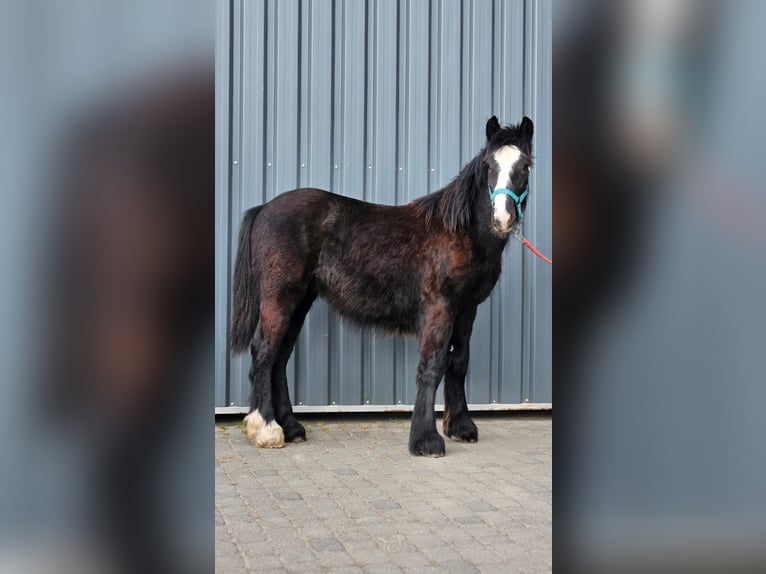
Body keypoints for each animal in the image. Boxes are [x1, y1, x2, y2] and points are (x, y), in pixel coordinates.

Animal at [230, 115, 534, 457]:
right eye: (488, 165)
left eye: (525, 166)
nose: (502, 219)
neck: (460, 231)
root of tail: (264, 209)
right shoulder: (440, 307)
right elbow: (432, 366)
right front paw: (426, 440)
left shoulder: (467, 310)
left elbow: (458, 363)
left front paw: (461, 427)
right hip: (280, 296)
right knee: (264, 352)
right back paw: (267, 428)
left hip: (300, 301)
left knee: (280, 357)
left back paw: (291, 427)